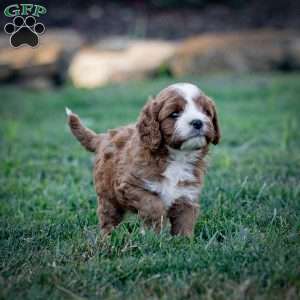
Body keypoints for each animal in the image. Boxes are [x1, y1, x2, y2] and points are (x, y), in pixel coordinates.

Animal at [66, 82, 220, 237]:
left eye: (206, 112)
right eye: (174, 114)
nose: (197, 122)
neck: (177, 157)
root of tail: (103, 137)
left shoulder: (187, 194)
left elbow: (185, 220)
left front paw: (183, 240)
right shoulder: (130, 185)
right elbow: (153, 205)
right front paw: (153, 234)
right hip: (107, 194)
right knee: (108, 217)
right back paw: (107, 238)